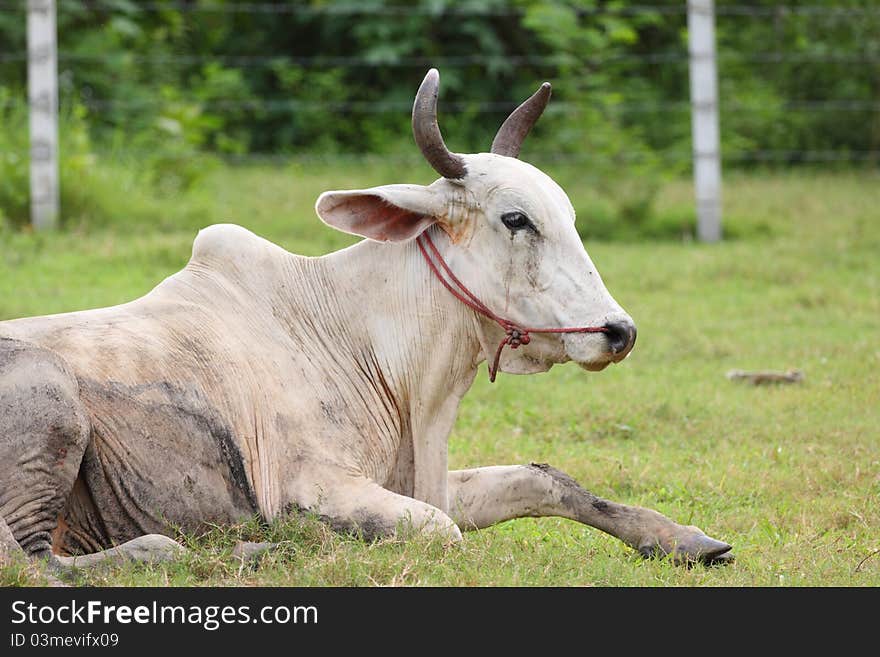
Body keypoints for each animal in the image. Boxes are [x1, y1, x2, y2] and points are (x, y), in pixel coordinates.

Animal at [0, 68, 728, 568]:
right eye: (516, 218)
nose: (619, 330)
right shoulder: (319, 484)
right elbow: (440, 530)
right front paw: (293, 533)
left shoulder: (418, 479)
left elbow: (545, 479)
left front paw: (681, 538)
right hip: (54, 403)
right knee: (42, 563)